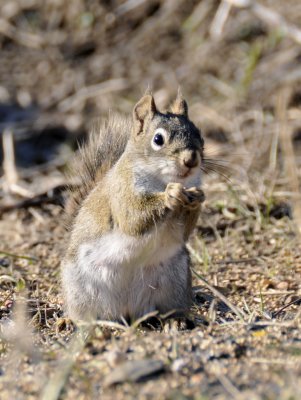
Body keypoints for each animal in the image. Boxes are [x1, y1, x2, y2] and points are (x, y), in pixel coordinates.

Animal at [62, 92, 205, 324]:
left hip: (176, 281)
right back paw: (73, 321)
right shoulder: (122, 192)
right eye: (158, 139)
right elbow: (133, 219)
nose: (191, 159)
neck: (162, 180)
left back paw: (176, 320)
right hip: (79, 288)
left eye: (199, 134)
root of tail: (126, 310)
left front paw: (198, 198)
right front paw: (170, 195)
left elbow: (184, 232)